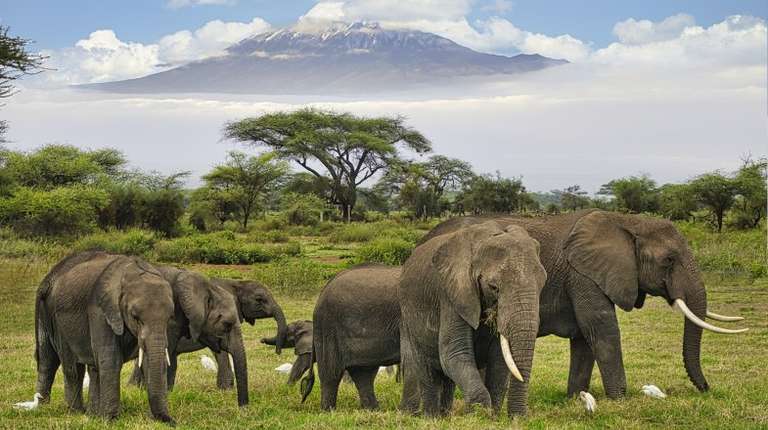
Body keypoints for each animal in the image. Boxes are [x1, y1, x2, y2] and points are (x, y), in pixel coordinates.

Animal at [34, 251, 176, 422]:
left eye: (169, 318)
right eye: (135, 317)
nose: (171, 421)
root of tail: (49, 276)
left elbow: (148, 360)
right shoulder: (100, 310)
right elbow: (111, 358)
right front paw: (110, 420)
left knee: (91, 368)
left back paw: (91, 414)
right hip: (54, 316)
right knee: (59, 363)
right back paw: (67, 410)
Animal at [129, 276, 286, 394]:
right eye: (259, 299)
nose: (278, 352)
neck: (236, 283)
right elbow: (220, 351)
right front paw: (226, 389)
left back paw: (135, 388)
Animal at [399, 221, 547, 417]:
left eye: (542, 284)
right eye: (493, 287)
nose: (518, 418)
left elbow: (499, 362)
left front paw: (493, 417)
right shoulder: (451, 293)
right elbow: (454, 353)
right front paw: (479, 415)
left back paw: (445, 416)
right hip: (408, 318)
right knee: (427, 372)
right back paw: (432, 418)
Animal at [420, 209, 748, 401]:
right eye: (669, 260)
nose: (706, 389)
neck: (627, 222)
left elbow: (584, 337)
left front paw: (575, 397)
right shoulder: (584, 276)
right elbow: (601, 328)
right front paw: (619, 399)